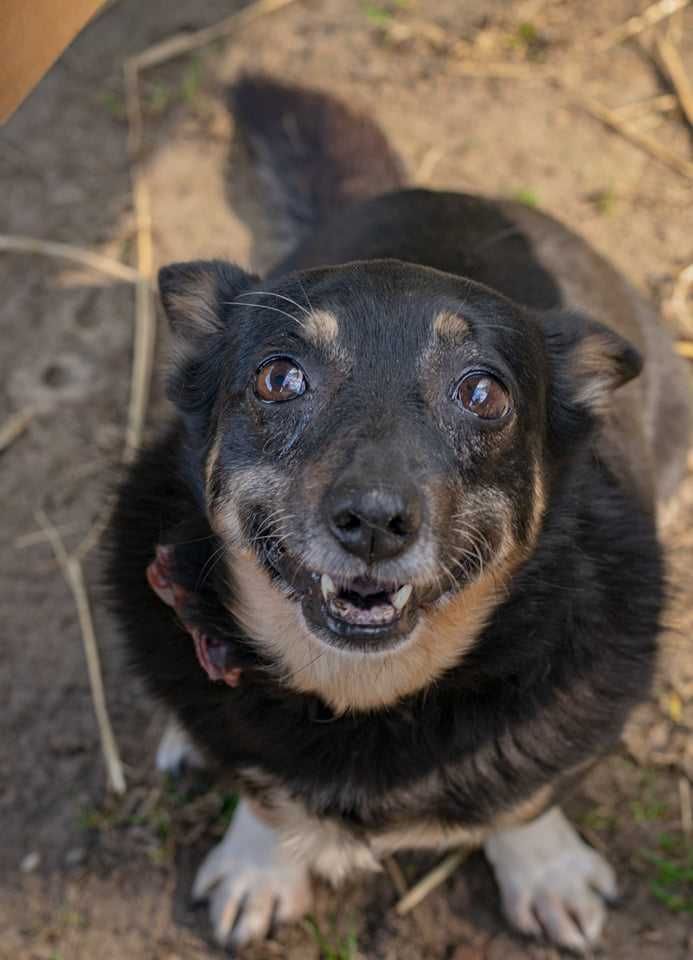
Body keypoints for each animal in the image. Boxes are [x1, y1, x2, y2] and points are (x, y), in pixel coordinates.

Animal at [105, 75, 688, 952]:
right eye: (279, 376)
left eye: (483, 392)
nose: (373, 521)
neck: (364, 693)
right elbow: (260, 783)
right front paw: (259, 864)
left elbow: (527, 798)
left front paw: (545, 870)